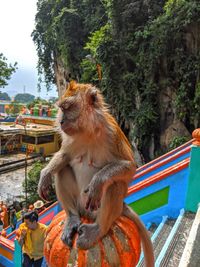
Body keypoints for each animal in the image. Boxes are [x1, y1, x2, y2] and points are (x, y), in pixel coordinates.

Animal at [38, 81, 155, 267]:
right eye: (62, 109)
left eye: (67, 107)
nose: (61, 121)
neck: (88, 131)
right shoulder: (69, 138)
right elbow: (64, 156)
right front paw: (45, 174)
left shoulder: (112, 132)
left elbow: (129, 166)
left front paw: (97, 182)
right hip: (81, 204)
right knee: (62, 169)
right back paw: (72, 218)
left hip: (100, 210)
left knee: (114, 184)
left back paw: (98, 229)